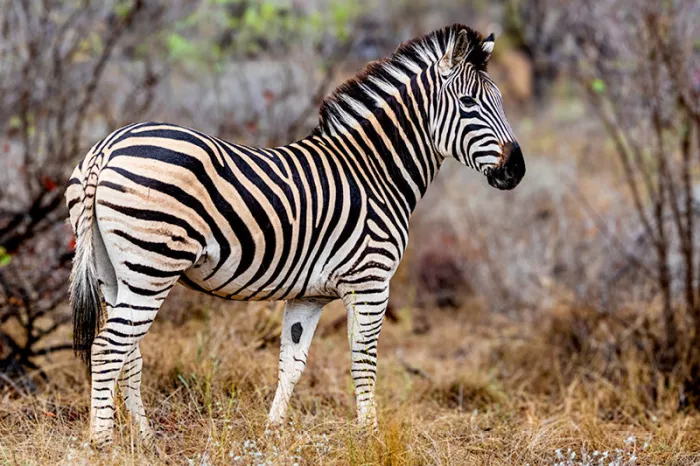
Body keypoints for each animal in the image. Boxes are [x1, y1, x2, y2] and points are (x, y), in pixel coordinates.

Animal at [66, 24, 524, 447]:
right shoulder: (370, 281)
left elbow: (293, 361)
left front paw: (273, 431)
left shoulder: (310, 295)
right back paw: (103, 442)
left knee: (129, 353)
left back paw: (143, 439)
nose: (516, 170)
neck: (375, 171)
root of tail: (107, 147)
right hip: (152, 266)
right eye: (468, 103)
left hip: (114, 274)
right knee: (108, 349)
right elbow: (363, 359)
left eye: (501, 101)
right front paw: (370, 437)